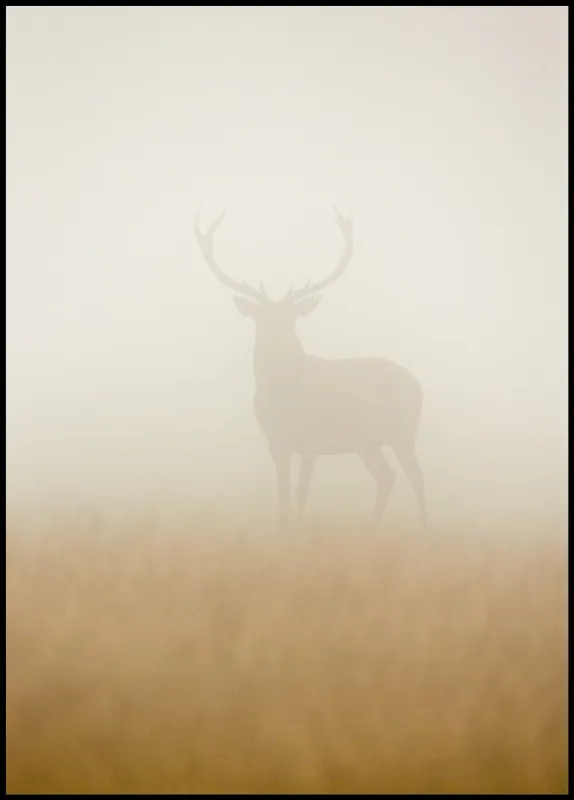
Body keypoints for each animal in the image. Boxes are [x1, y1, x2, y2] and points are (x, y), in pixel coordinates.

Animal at [194, 207, 427, 532]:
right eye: (261, 318)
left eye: (291, 318)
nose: (276, 343)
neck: (282, 398)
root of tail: (418, 384)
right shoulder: (275, 441)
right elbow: (281, 492)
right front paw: (282, 530)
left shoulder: (311, 440)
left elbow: (301, 491)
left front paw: (297, 532)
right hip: (367, 441)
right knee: (386, 476)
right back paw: (370, 528)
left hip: (403, 429)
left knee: (416, 476)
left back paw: (424, 527)